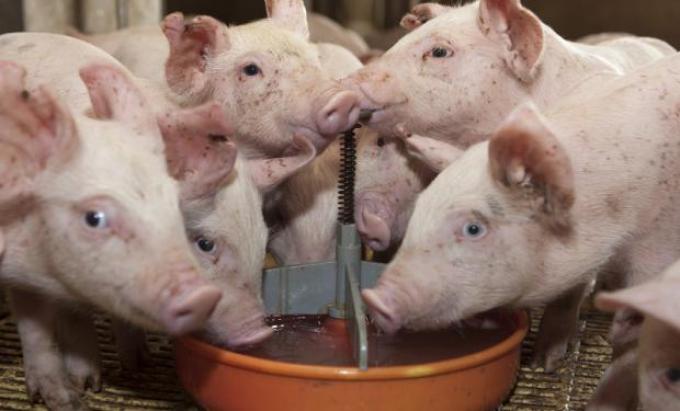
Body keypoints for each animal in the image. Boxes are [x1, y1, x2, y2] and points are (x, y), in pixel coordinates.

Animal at [362, 53, 680, 375]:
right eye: (419, 209)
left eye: (473, 228)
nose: (373, 298)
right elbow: (567, 296)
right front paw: (544, 363)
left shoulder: (657, 249)